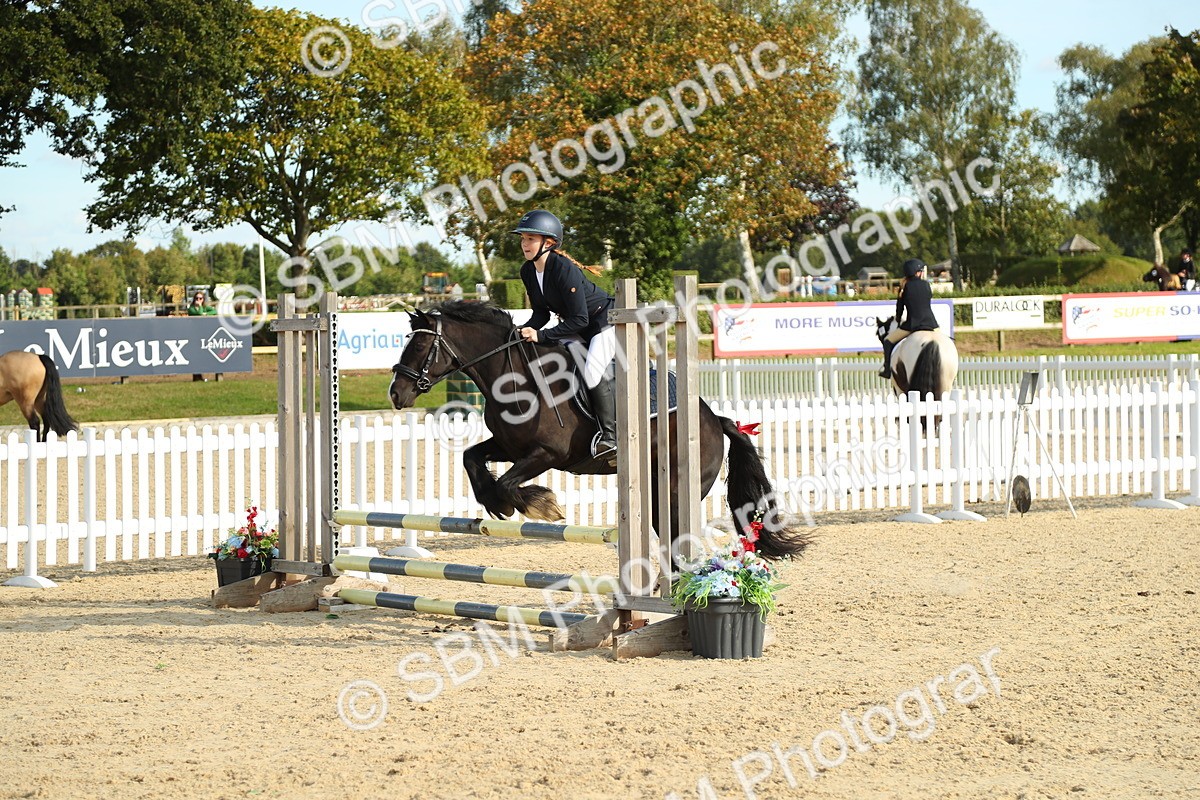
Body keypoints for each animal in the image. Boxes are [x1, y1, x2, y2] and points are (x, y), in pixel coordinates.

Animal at [386, 301, 811, 562]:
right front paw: (496, 504)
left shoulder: (547, 454)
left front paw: (541, 505)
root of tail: (713, 418)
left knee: (677, 539)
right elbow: (471, 458)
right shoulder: (508, 446)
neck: (513, 376)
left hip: (675, 490)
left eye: (421, 346)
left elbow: (509, 482)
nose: (395, 393)